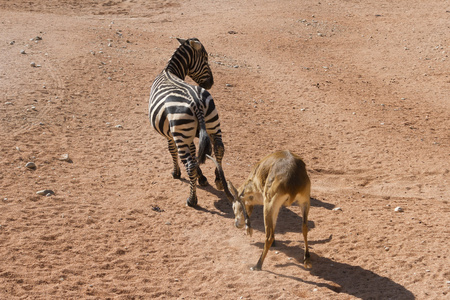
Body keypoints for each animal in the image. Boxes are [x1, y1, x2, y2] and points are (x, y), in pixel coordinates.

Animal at [149, 37, 225, 206]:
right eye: (206, 59)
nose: (211, 83)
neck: (170, 71)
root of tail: (196, 101)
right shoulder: (188, 135)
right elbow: (195, 154)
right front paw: (202, 178)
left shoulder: (170, 134)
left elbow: (172, 150)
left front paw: (176, 173)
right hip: (213, 123)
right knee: (219, 148)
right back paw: (219, 181)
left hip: (181, 134)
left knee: (189, 165)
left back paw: (192, 200)